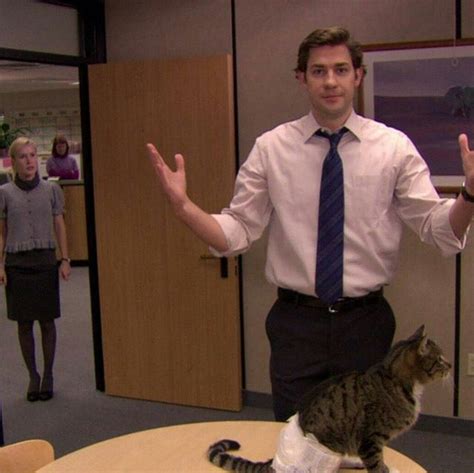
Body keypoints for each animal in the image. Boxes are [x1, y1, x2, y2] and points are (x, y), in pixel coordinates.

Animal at [208, 324, 452, 472]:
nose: (450, 365)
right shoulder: (371, 439)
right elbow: (376, 464)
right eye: (440, 359)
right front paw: (383, 469)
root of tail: (275, 463)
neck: (396, 378)